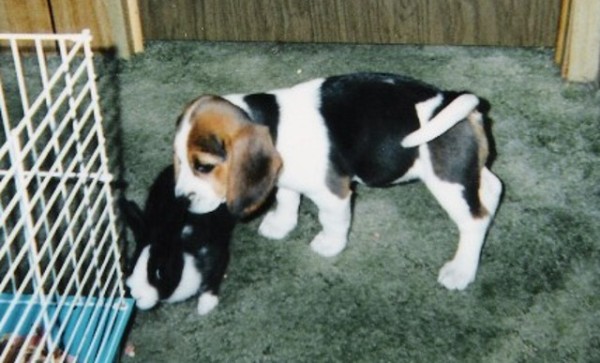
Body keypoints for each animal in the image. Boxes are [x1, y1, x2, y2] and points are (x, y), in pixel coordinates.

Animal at [120, 165, 237, 316]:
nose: (136, 294)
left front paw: (205, 307)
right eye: (132, 264)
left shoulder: (218, 255)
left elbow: (213, 279)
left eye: (159, 272)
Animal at [173, 72, 502, 292]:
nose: (180, 201)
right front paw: (280, 225)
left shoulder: (332, 194)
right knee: (492, 188)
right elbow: (287, 199)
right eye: (177, 160)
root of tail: (448, 97)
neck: (272, 122)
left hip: (447, 180)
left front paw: (329, 245)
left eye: (203, 167)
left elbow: (332, 220)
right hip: (466, 172)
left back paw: (460, 270)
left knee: (474, 221)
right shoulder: (285, 177)